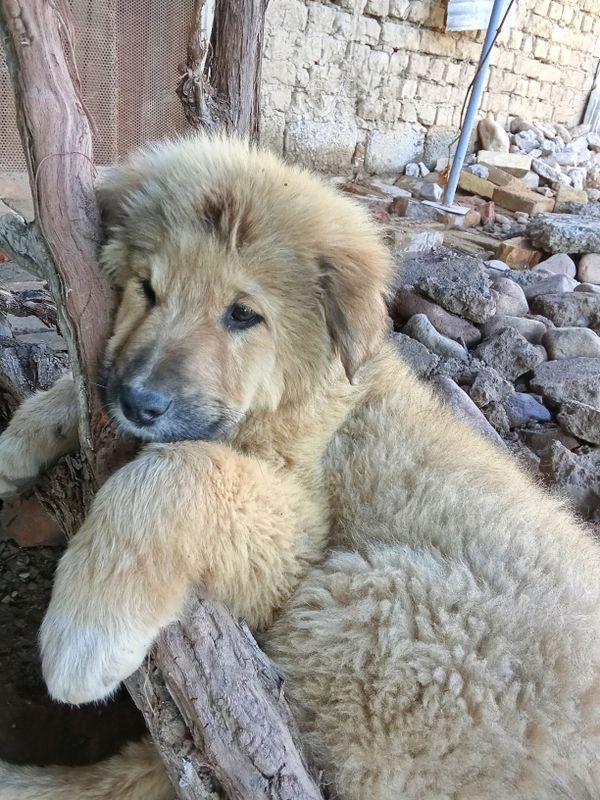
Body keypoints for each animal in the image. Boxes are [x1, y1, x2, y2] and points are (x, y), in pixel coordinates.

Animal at [1, 134, 600, 796]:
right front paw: (21, 437)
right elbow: (83, 393)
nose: (138, 402)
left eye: (243, 315)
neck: (316, 397)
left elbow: (177, 471)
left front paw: (85, 633)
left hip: (370, 610)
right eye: (147, 289)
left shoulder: (298, 539)